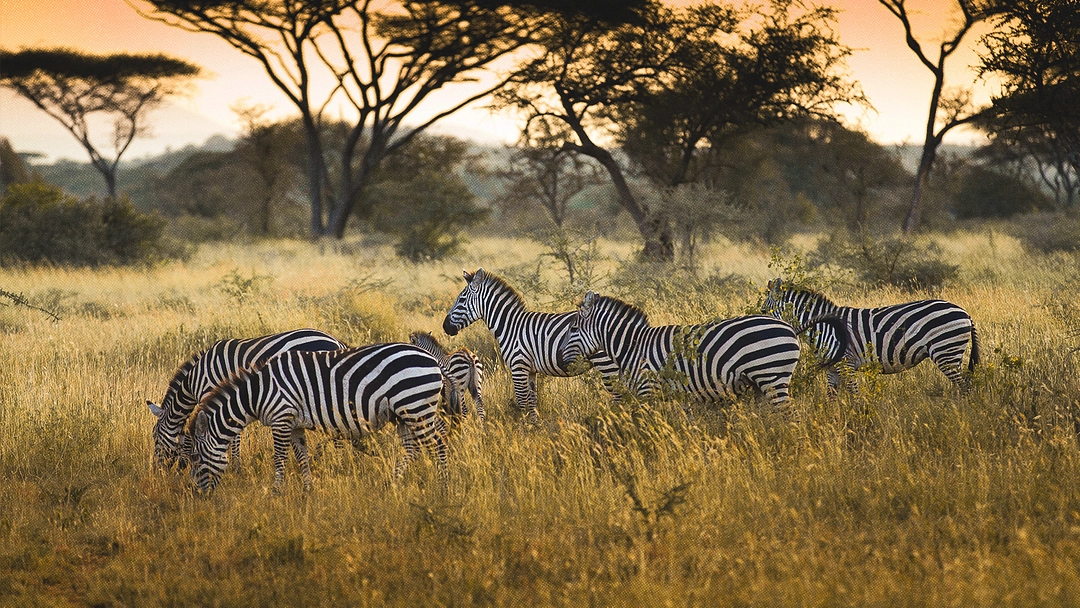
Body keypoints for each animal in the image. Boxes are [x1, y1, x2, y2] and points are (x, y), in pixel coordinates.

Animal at [146, 328, 345, 470]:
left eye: (155, 435)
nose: (156, 470)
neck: (195, 380)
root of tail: (337, 342)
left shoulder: (212, 394)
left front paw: (234, 466)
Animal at [185, 343, 451, 494]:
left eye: (195, 457)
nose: (197, 494)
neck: (258, 392)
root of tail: (432, 359)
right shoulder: (293, 424)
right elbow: (302, 457)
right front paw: (307, 491)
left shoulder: (281, 418)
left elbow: (279, 458)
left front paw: (276, 492)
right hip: (403, 414)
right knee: (412, 449)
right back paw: (392, 484)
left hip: (416, 406)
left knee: (438, 445)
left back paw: (444, 488)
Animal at [440, 268, 617, 425]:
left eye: (461, 300)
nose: (445, 327)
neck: (511, 326)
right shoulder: (531, 370)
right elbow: (532, 401)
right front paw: (534, 426)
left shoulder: (518, 366)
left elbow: (521, 401)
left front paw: (522, 429)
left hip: (607, 364)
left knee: (617, 395)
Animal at [557, 291, 851, 408]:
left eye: (573, 328)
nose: (560, 360)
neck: (633, 346)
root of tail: (789, 327)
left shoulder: (648, 390)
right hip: (762, 382)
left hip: (771, 375)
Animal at [760, 278, 980, 393]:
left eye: (763, 310)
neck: (823, 326)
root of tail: (964, 312)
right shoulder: (832, 369)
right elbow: (831, 398)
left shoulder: (847, 364)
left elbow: (854, 396)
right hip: (950, 353)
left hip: (946, 352)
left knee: (965, 387)